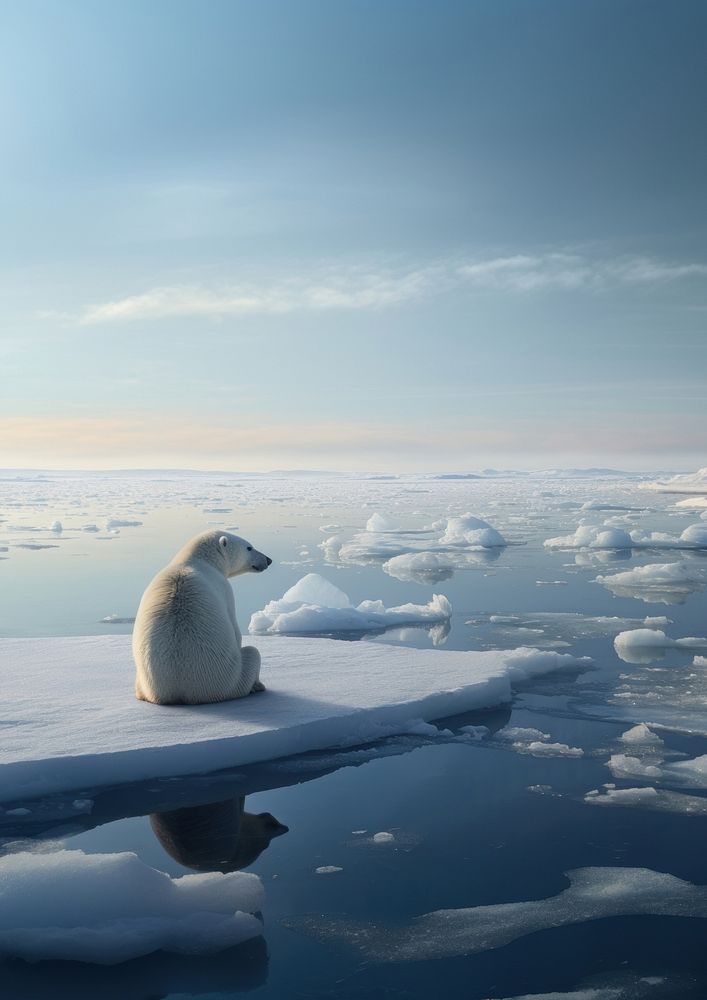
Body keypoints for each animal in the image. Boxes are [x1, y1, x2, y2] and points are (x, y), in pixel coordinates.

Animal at [133, 532, 274, 704]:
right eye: (249, 547)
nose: (268, 560)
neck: (196, 560)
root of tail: (179, 691)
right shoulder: (224, 589)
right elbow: (235, 631)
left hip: (144, 681)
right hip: (231, 680)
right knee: (253, 653)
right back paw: (258, 685)